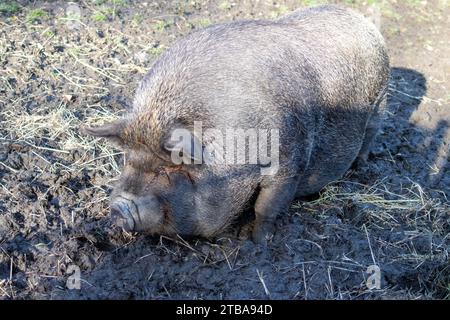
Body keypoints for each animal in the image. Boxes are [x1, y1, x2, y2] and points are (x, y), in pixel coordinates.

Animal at [83, 4, 390, 242]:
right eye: (128, 159)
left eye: (168, 169)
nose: (118, 208)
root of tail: (362, 20)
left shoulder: (290, 162)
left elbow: (266, 207)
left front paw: (256, 242)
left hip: (379, 102)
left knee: (371, 133)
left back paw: (361, 167)